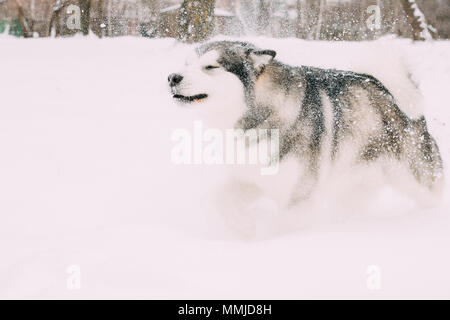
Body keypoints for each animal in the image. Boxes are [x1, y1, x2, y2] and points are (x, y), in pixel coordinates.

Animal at [168, 40, 442, 210]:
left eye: (210, 66)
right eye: (187, 64)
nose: (172, 77)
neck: (262, 115)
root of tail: (388, 90)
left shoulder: (298, 195)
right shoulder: (250, 175)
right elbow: (221, 202)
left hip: (417, 178)